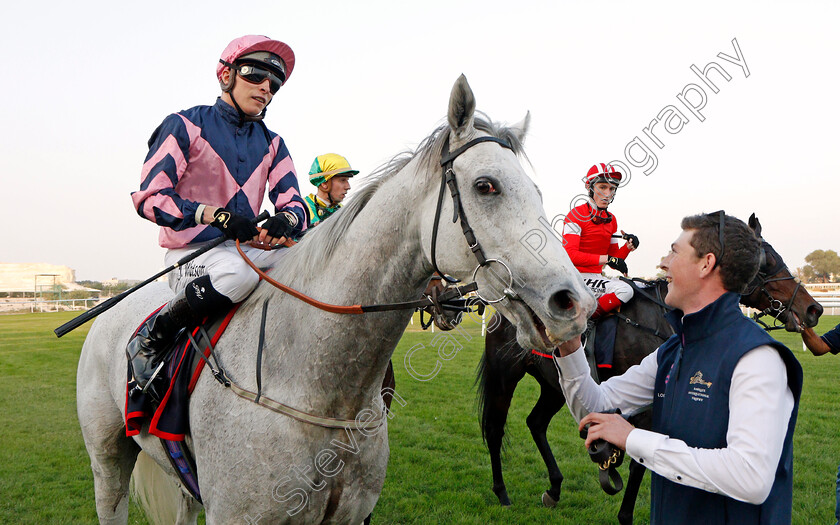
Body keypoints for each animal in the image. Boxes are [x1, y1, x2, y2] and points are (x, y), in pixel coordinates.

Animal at [75, 77, 592, 524]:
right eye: (487, 185)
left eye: (536, 191)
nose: (573, 303)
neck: (319, 386)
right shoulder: (239, 515)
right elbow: (154, 191)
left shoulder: (347, 514)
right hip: (108, 459)